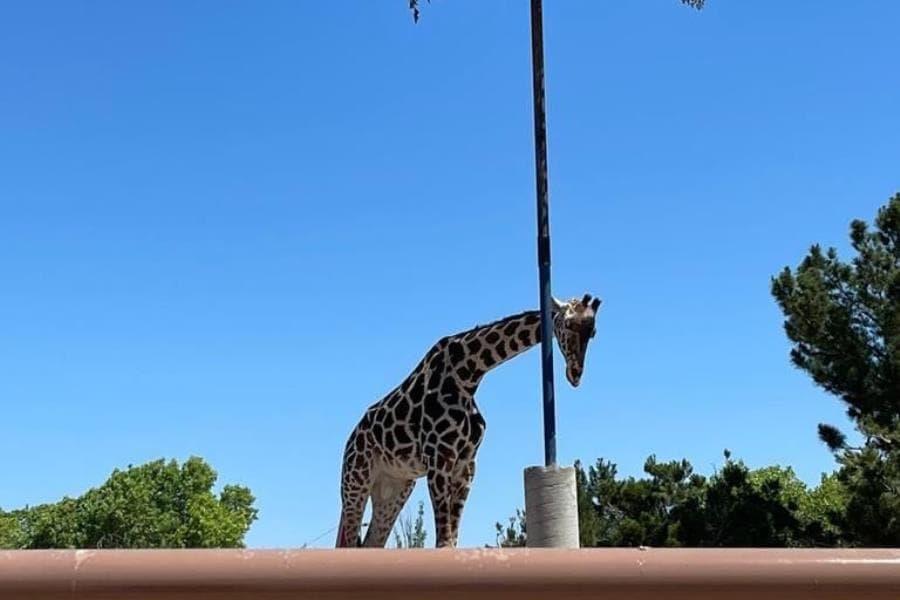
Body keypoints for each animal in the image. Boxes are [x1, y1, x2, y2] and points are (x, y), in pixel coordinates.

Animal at [334, 294, 600, 548]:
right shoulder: (438, 459)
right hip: (355, 480)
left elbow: (452, 540)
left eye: (593, 332)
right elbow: (443, 542)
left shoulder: (466, 464)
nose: (575, 374)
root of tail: (351, 440)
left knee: (371, 543)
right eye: (568, 324)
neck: (468, 374)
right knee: (349, 541)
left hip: (394, 487)